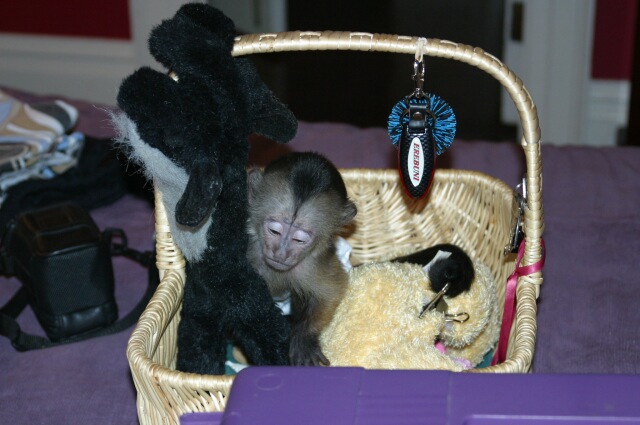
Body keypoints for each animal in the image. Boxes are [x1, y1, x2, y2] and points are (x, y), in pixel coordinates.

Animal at [246, 152, 357, 366]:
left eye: (299, 239)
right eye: (274, 231)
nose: (280, 253)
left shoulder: (312, 265)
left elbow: (332, 291)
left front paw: (303, 337)